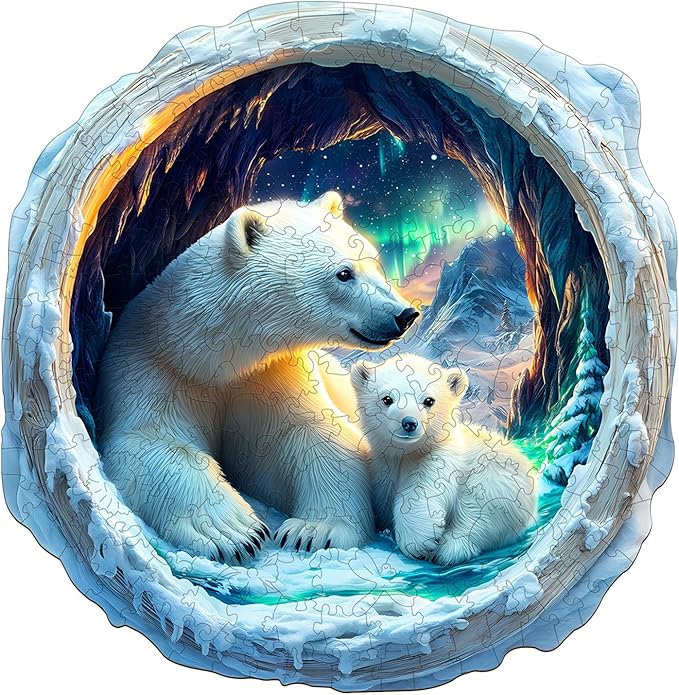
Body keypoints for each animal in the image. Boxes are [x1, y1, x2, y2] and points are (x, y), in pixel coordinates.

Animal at [93, 191, 419, 562]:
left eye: (374, 262)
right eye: (344, 273)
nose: (405, 314)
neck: (210, 359)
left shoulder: (273, 376)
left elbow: (315, 437)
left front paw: (315, 530)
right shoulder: (154, 369)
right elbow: (153, 444)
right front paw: (233, 532)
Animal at [350, 353, 538, 566]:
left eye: (429, 400)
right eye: (387, 398)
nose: (409, 423)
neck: (405, 453)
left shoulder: (443, 456)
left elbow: (423, 487)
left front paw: (419, 541)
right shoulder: (380, 467)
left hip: (499, 477)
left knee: (481, 509)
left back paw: (449, 549)